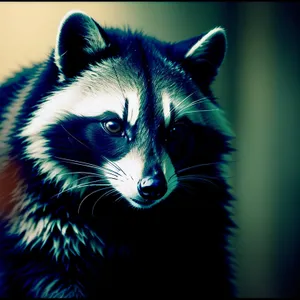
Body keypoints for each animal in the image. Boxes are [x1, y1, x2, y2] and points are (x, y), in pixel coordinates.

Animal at [0, 9, 237, 298]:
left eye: (175, 131)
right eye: (114, 126)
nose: (153, 187)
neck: (120, 210)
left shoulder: (204, 227)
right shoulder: (40, 228)